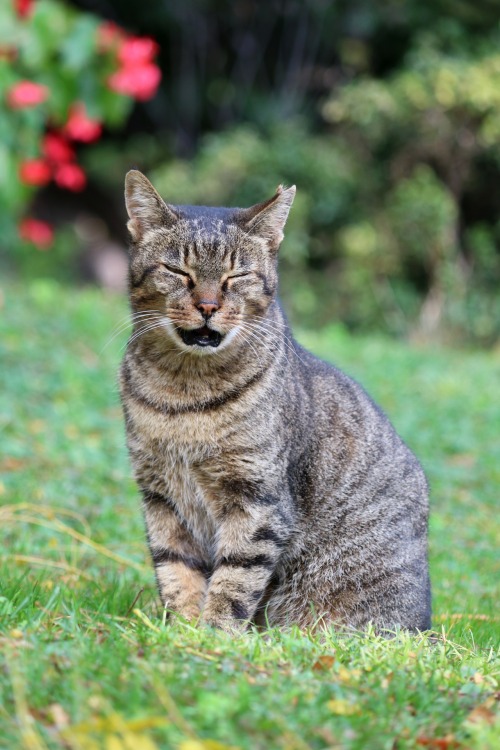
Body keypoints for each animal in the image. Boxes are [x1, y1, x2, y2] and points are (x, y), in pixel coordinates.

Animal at [120, 170, 430, 636]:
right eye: (177, 270)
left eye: (236, 275)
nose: (207, 305)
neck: (184, 391)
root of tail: (425, 629)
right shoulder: (159, 495)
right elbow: (175, 569)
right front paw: (180, 633)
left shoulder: (257, 499)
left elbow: (235, 577)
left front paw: (213, 636)